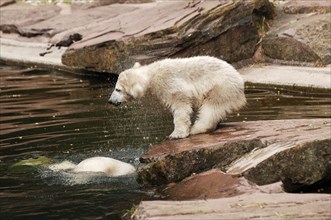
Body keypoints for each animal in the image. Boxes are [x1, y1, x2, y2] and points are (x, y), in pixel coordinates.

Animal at [109, 56, 246, 139]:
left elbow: (181, 107)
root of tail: (239, 79)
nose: (110, 101)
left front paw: (176, 134)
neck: (152, 74)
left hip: (221, 87)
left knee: (211, 107)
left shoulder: (170, 85)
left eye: (118, 89)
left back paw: (197, 128)